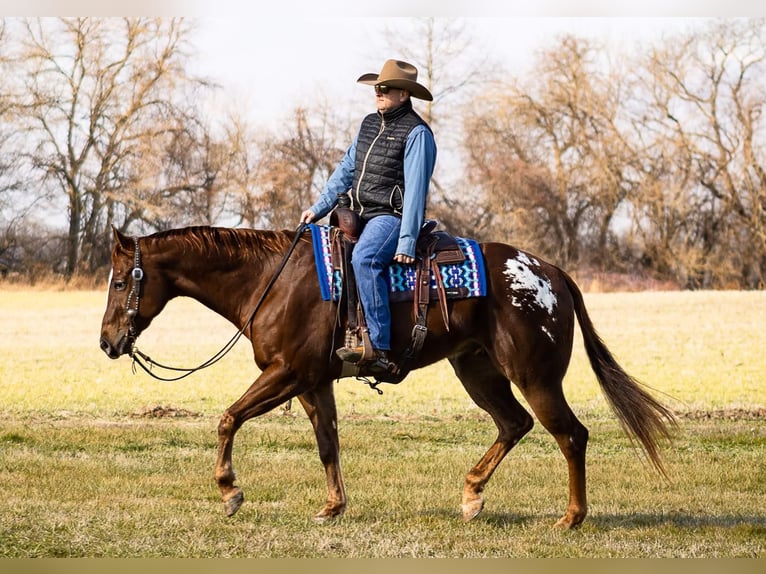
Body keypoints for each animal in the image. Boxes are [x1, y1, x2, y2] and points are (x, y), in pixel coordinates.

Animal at [97, 225, 680, 532]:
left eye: (123, 280)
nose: (107, 342)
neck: (271, 281)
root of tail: (552, 274)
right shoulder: (313, 382)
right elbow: (327, 444)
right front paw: (332, 507)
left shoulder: (288, 373)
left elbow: (227, 419)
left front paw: (230, 491)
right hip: (477, 369)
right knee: (514, 425)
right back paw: (471, 496)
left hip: (535, 375)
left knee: (570, 434)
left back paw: (571, 518)